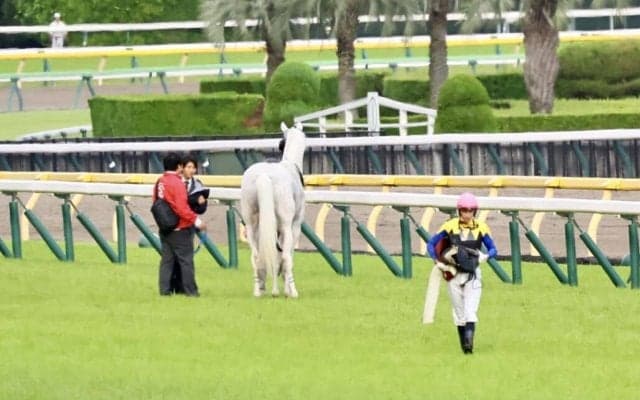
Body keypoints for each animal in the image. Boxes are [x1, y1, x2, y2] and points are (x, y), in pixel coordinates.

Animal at [240, 122, 306, 298]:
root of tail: (264, 176)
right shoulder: (294, 226)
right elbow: (286, 256)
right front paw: (287, 288)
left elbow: (273, 256)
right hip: (286, 225)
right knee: (286, 256)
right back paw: (292, 291)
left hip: (251, 225)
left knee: (256, 255)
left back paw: (258, 290)